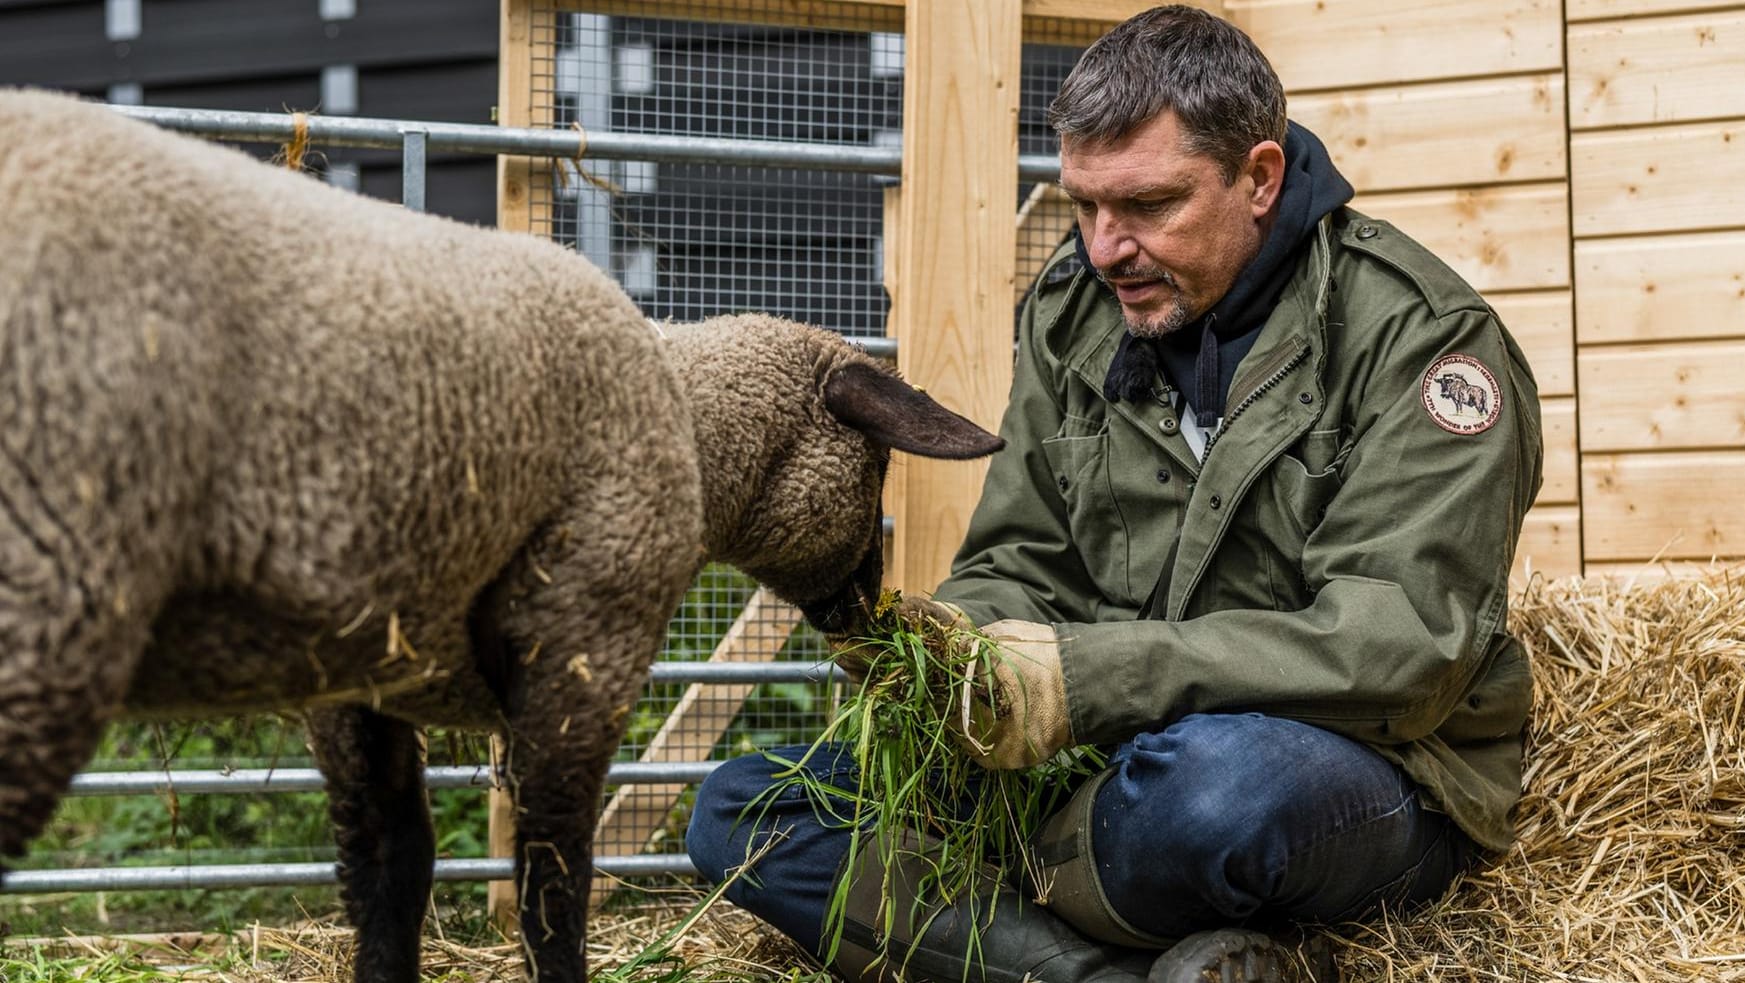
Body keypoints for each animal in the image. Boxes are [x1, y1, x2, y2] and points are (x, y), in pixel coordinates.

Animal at [0, 88, 1005, 977]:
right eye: (875, 468)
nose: (871, 611)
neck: (687, 423)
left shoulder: (361, 674)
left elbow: (389, 871)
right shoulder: (583, 646)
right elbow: (550, 887)